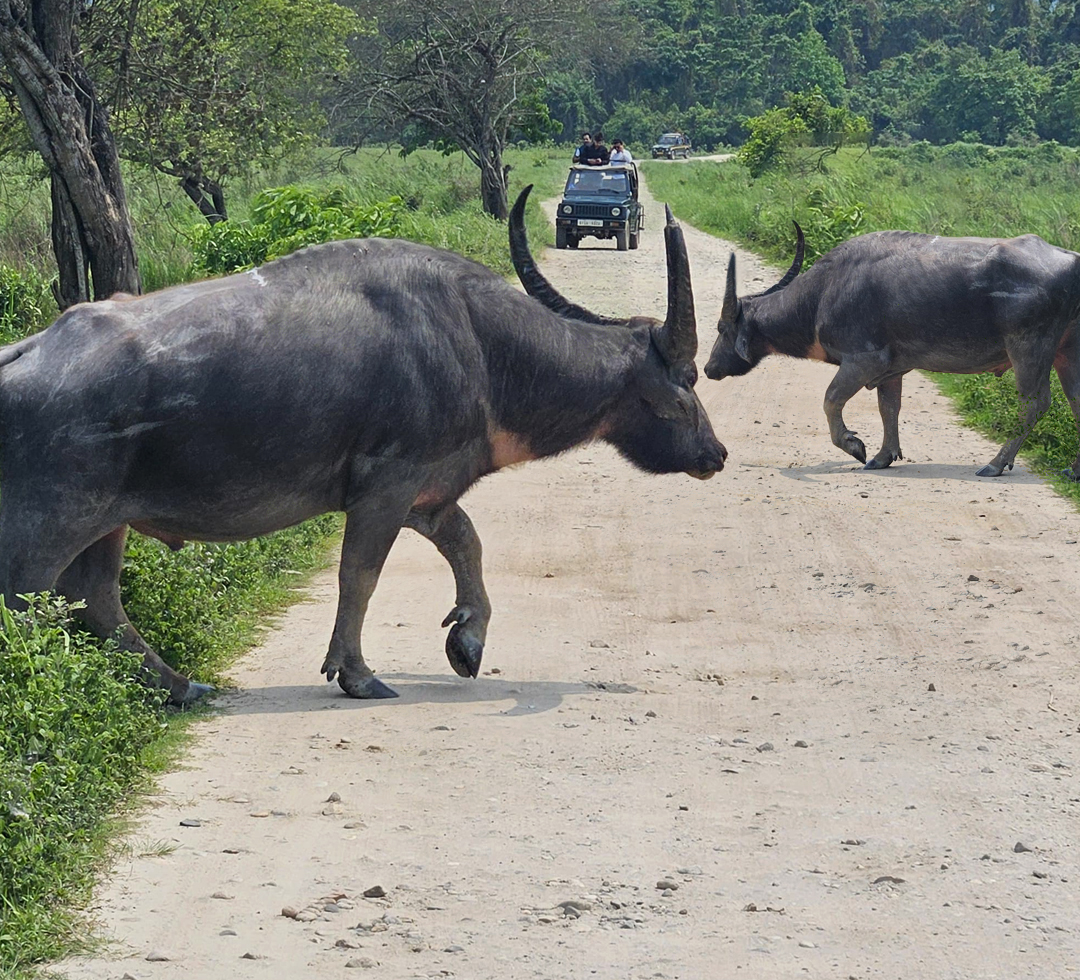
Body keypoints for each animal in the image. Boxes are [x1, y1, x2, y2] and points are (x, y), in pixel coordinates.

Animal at [704, 226, 1080, 479]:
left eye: (721, 328)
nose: (708, 369)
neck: (823, 295)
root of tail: (1072, 261)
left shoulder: (863, 361)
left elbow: (830, 399)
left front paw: (855, 447)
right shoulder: (892, 370)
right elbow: (889, 408)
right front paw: (884, 456)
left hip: (1029, 349)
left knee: (1034, 405)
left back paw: (996, 463)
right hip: (1067, 353)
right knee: (1076, 402)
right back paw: (1072, 470)